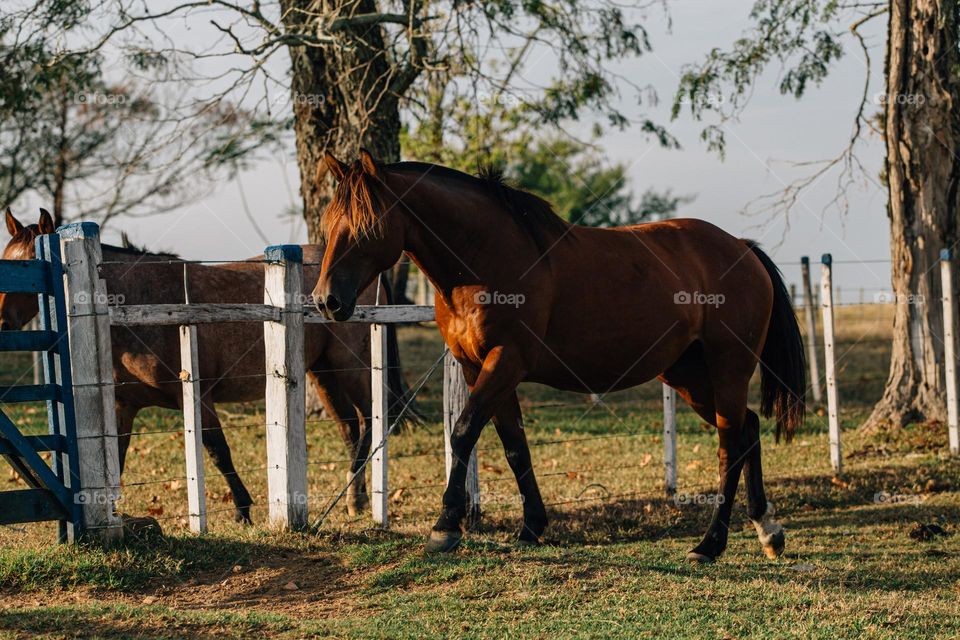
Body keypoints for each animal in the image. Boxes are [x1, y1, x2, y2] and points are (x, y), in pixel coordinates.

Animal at [0, 208, 418, 522]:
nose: (2, 322)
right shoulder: (124, 406)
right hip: (323, 373)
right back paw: (354, 497)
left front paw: (243, 510)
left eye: (30, 266)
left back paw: (358, 498)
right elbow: (116, 459)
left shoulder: (197, 397)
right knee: (350, 428)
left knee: (370, 420)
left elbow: (218, 452)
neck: (144, 305)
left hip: (351, 367)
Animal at [311, 150, 805, 563]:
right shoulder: (478, 369)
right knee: (748, 429)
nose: (326, 301)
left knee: (729, 446)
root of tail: (742, 249)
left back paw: (710, 543)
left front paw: (445, 527)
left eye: (366, 225)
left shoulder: (505, 362)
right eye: (329, 223)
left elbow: (464, 432)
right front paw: (532, 526)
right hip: (689, 376)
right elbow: (513, 445)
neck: (485, 257)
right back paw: (767, 530)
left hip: (727, 370)